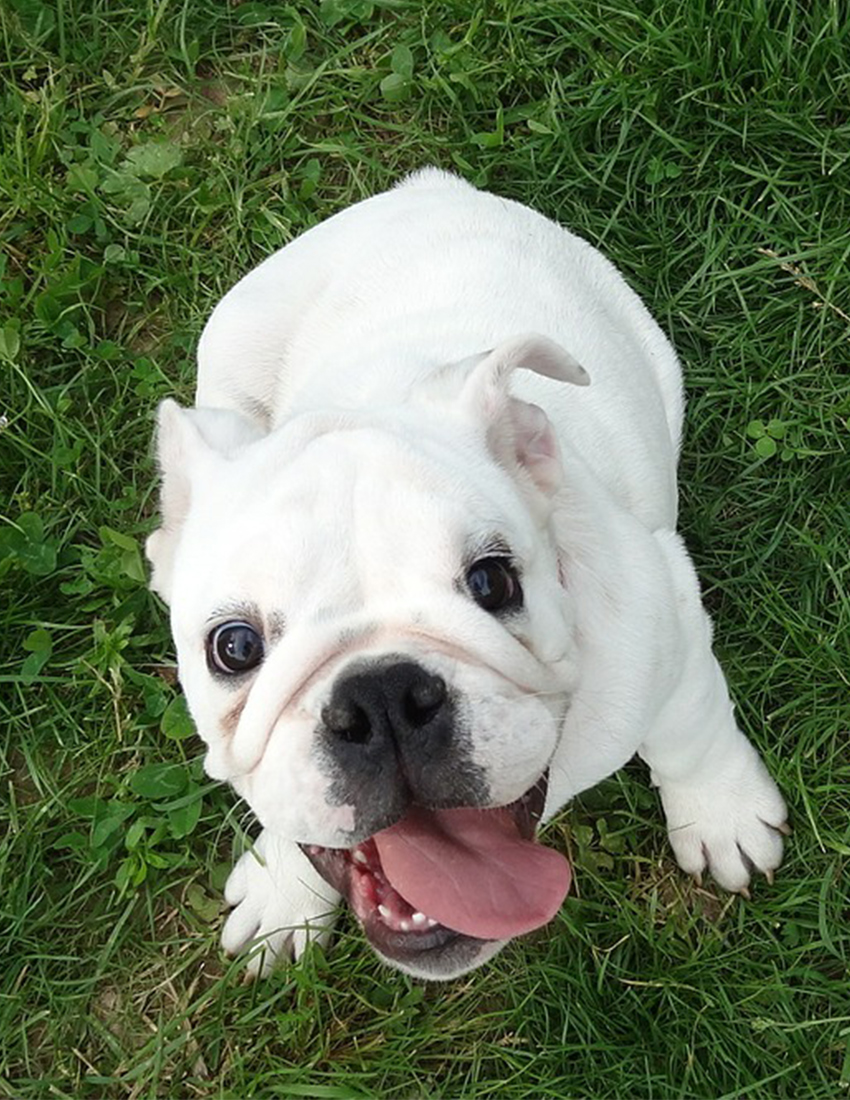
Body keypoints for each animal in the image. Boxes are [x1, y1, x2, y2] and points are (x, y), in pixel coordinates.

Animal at [147, 169, 787, 981]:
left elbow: (692, 731)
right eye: (233, 648)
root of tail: (427, 188)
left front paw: (722, 812)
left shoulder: (670, 623)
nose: (382, 695)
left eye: (493, 583)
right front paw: (284, 889)